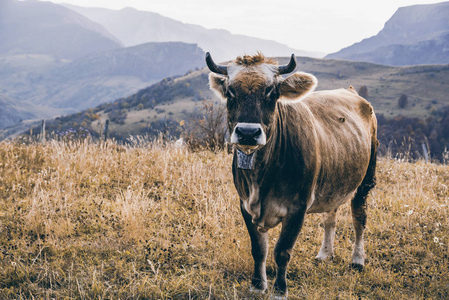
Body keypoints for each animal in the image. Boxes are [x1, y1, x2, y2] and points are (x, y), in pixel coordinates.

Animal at [206, 52, 378, 298]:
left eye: (271, 93)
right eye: (230, 92)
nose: (248, 133)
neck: (261, 179)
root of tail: (351, 91)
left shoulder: (298, 208)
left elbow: (282, 251)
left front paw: (279, 290)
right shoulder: (244, 203)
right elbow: (259, 249)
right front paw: (258, 285)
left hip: (366, 178)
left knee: (359, 218)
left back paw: (357, 260)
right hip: (333, 177)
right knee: (330, 216)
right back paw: (325, 254)